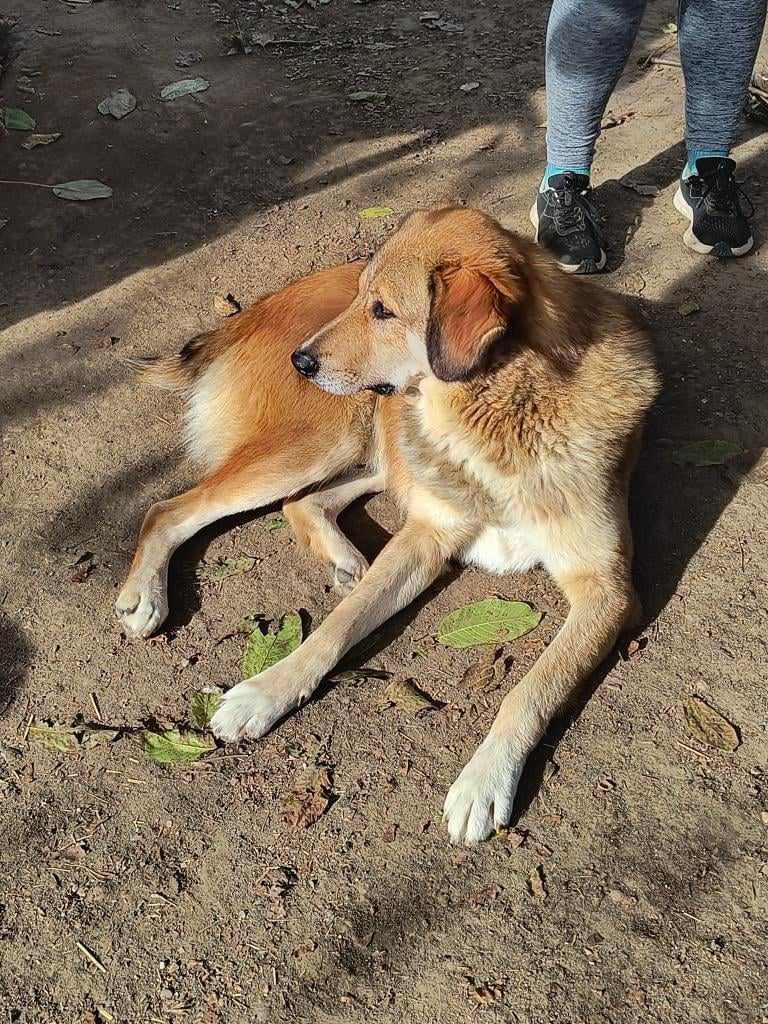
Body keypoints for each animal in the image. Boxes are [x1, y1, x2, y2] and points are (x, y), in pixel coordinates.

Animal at [118, 205, 663, 839]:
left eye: (383, 310)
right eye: (361, 298)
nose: (300, 360)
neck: (504, 407)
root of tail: (257, 307)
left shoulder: (607, 591)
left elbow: (529, 690)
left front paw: (484, 781)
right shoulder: (424, 537)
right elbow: (336, 627)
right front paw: (264, 692)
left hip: (369, 448)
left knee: (298, 503)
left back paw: (344, 560)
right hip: (325, 440)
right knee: (169, 508)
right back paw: (146, 595)